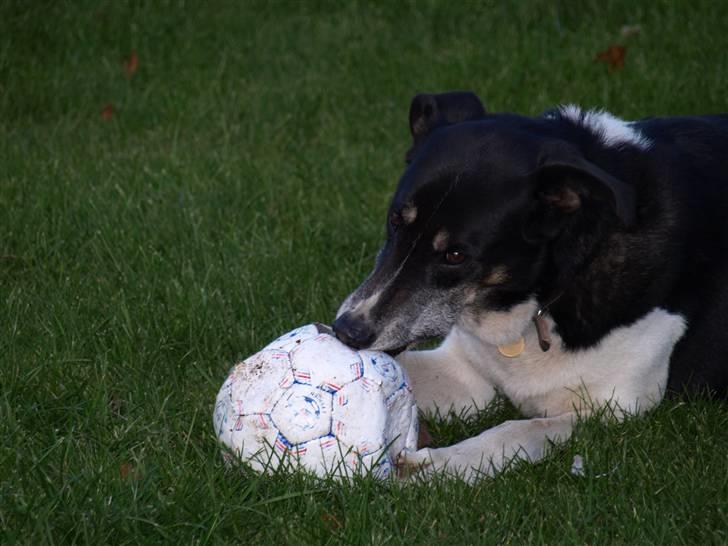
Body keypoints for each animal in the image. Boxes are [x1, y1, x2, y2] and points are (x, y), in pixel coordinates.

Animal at [332, 90, 728, 480]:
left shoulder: (616, 410)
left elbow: (518, 430)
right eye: (395, 221)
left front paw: (431, 466)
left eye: (455, 255)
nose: (347, 331)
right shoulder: (464, 370)